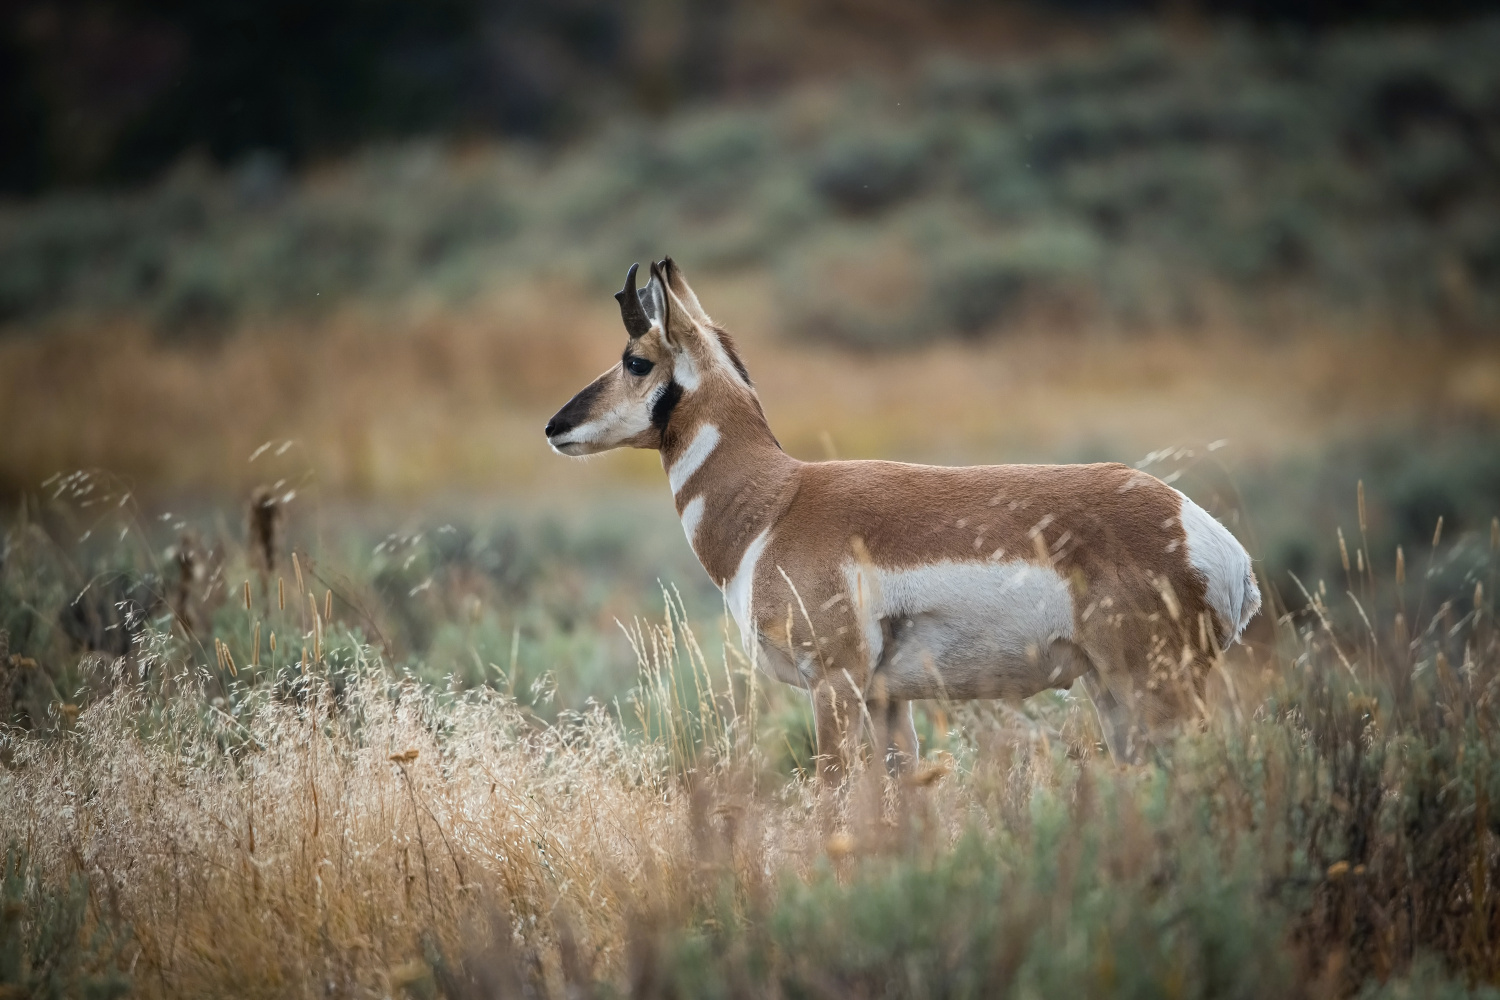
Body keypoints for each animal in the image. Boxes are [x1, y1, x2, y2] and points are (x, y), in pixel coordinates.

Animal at [546, 260, 1260, 779]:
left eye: (636, 359)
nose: (555, 427)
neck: (777, 502)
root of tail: (1212, 541)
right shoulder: (889, 703)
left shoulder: (833, 686)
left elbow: (834, 792)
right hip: (1112, 693)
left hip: (1156, 691)